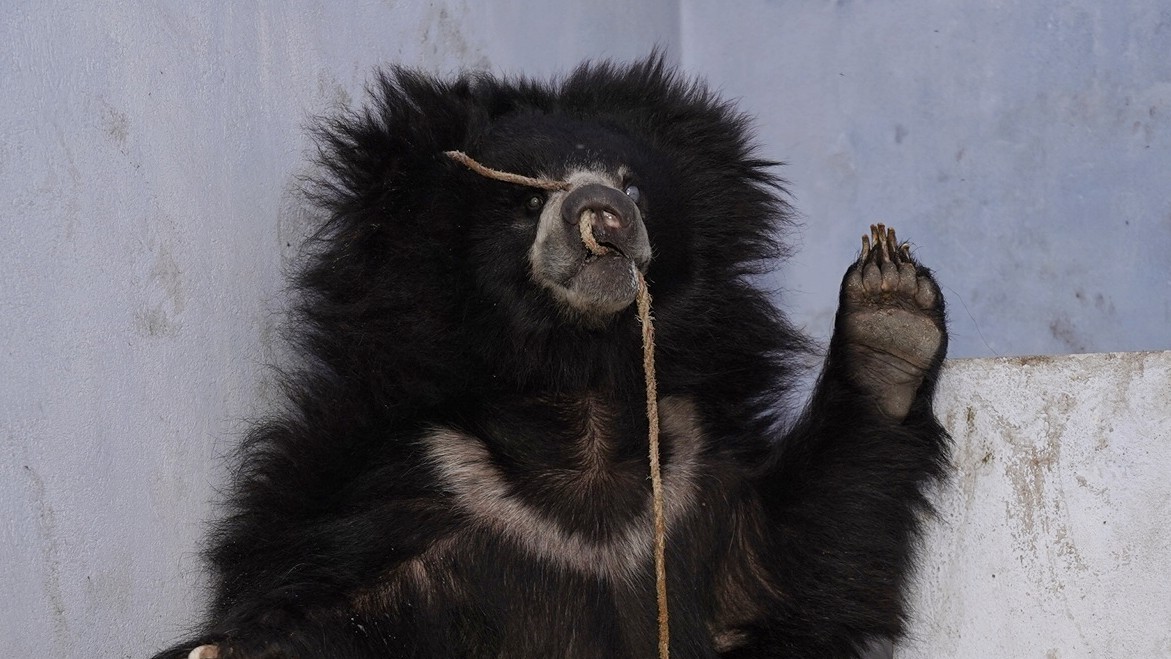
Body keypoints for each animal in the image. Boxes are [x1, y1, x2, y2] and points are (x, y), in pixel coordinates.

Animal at [153, 56, 948, 659]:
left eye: (632, 184)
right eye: (528, 200)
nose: (604, 219)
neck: (579, 392)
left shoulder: (696, 482)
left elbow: (795, 560)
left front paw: (890, 313)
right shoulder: (414, 489)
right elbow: (352, 603)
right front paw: (230, 647)